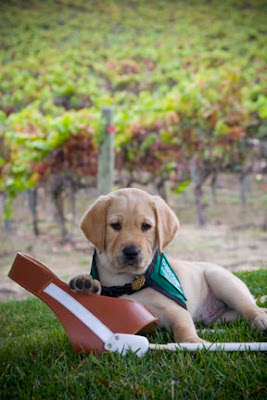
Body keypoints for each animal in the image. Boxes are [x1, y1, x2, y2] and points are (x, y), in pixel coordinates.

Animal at [69, 189, 267, 342]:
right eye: (115, 225)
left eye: (146, 226)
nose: (131, 252)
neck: (126, 281)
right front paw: (85, 283)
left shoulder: (174, 309)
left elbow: (183, 326)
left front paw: (192, 341)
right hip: (223, 317)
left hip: (221, 279)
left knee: (250, 307)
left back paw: (261, 319)